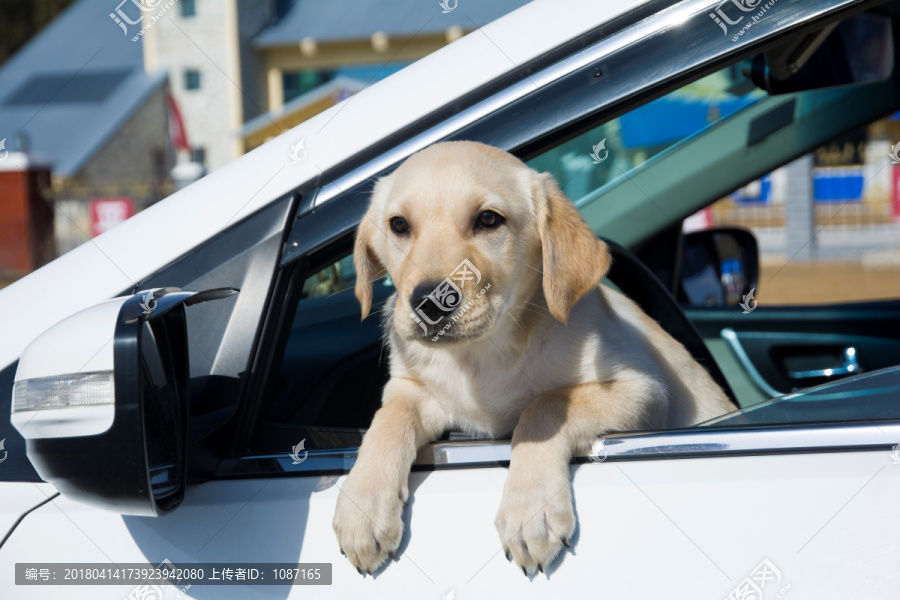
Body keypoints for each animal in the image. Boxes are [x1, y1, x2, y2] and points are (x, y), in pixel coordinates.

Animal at [334, 141, 736, 576]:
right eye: (398, 225)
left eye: (488, 220)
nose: (430, 303)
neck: (482, 354)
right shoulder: (410, 388)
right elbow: (388, 420)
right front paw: (362, 506)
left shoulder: (643, 389)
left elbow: (544, 406)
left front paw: (531, 510)